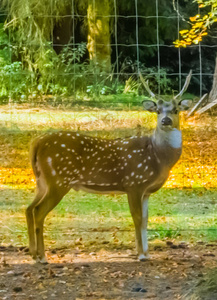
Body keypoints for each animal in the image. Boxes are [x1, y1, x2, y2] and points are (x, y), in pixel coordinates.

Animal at [26, 71, 192, 262]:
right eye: (157, 110)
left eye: (175, 110)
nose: (165, 120)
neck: (158, 157)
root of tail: (36, 143)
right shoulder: (134, 182)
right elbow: (137, 218)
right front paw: (141, 255)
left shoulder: (146, 190)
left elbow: (145, 219)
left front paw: (147, 253)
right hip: (58, 180)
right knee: (38, 211)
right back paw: (42, 257)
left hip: (42, 181)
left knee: (29, 208)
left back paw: (33, 253)